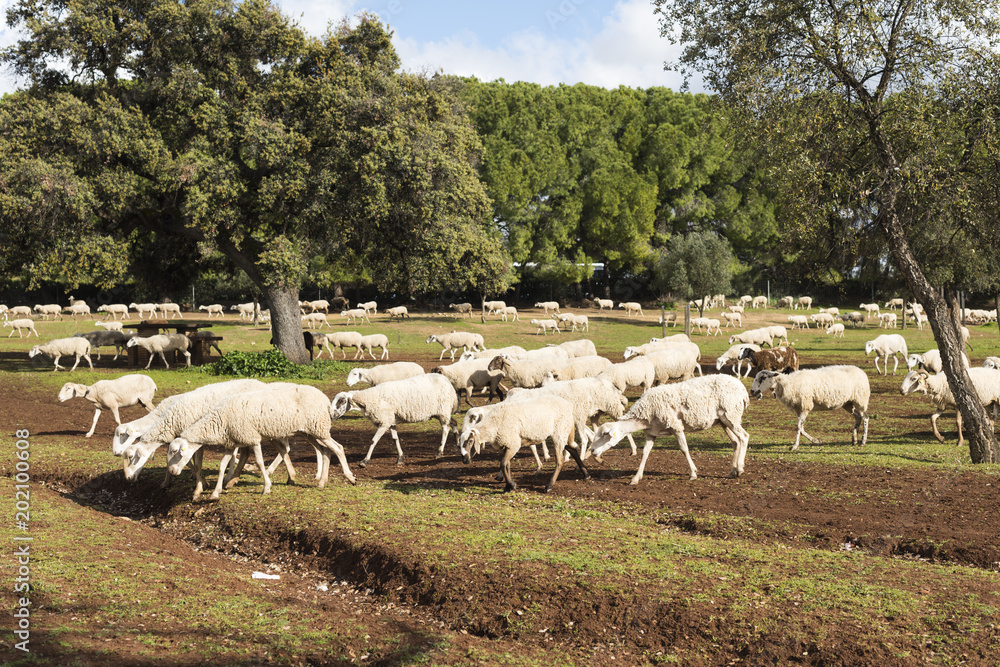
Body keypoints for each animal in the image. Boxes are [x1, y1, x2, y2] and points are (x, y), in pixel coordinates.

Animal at [166, 383, 357, 499]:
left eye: (176, 452)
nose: (173, 471)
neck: (220, 419)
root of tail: (325, 399)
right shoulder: (231, 443)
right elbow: (221, 466)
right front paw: (216, 493)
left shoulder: (252, 438)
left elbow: (258, 462)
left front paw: (266, 487)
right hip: (311, 431)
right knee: (325, 451)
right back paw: (322, 482)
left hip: (319, 428)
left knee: (339, 448)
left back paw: (350, 477)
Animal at [590, 375, 751, 484]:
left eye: (605, 434)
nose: (592, 450)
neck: (645, 414)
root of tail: (742, 388)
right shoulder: (651, 433)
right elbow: (645, 453)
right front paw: (636, 478)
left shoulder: (676, 426)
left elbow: (684, 449)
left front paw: (693, 473)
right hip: (723, 420)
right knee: (735, 442)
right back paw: (733, 471)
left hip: (731, 414)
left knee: (744, 437)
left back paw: (740, 468)